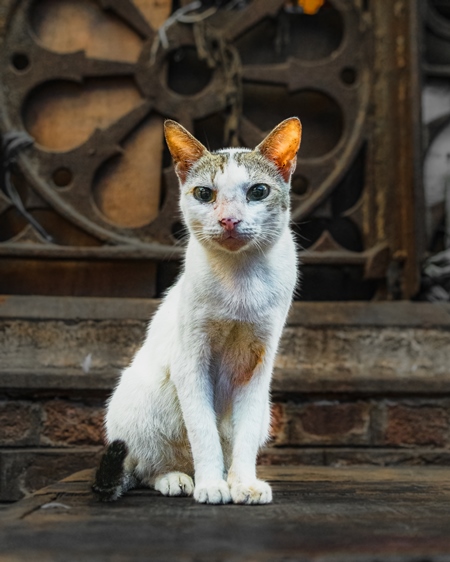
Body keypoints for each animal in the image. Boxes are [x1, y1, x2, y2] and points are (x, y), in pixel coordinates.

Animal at [95, 117, 302, 504]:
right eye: (205, 194)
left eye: (258, 192)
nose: (229, 220)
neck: (240, 281)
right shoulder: (191, 361)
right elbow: (203, 432)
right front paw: (211, 486)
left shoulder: (258, 364)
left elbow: (244, 436)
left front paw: (243, 484)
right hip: (143, 397)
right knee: (144, 467)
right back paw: (179, 479)